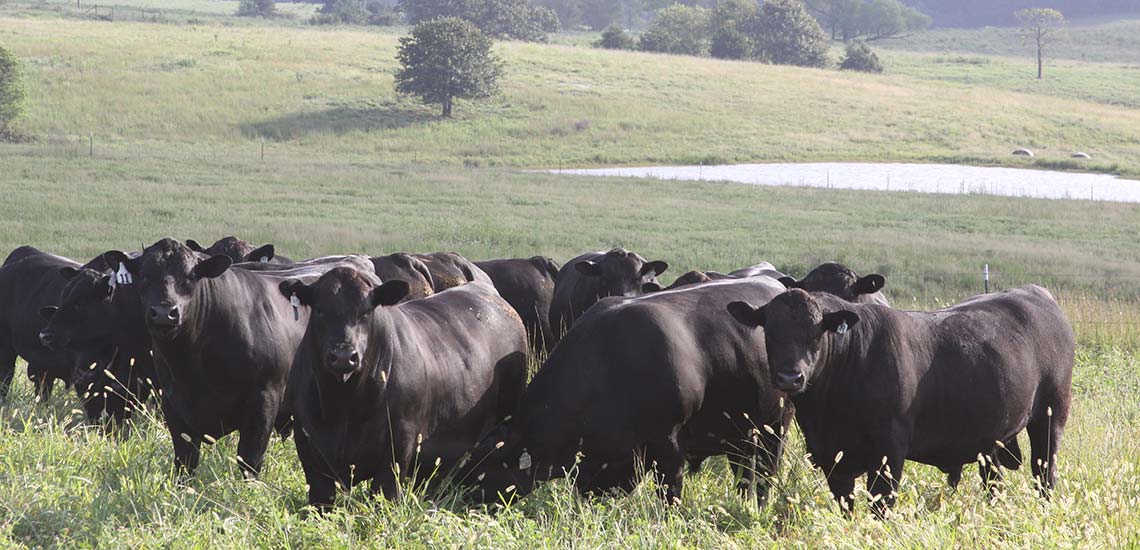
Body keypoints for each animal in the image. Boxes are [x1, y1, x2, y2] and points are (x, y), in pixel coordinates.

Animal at [101, 238, 371, 477]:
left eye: (190, 277)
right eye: (145, 276)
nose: (164, 313)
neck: (193, 364)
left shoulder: (264, 400)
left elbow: (250, 459)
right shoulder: (172, 402)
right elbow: (185, 460)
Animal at [279, 267, 527, 508]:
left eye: (366, 312)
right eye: (320, 310)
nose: (343, 356)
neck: (344, 405)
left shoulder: (397, 449)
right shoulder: (310, 454)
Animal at [466, 277, 792, 506]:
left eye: (483, 464)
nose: (457, 495)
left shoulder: (669, 444)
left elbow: (670, 495)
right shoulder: (599, 465)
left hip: (776, 425)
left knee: (766, 473)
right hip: (741, 434)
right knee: (745, 475)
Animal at [726, 286, 1074, 516]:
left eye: (816, 333)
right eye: (770, 332)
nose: (790, 377)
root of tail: (1036, 293)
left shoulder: (889, 450)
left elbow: (881, 503)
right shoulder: (833, 457)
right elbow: (846, 504)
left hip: (1051, 416)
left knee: (1044, 473)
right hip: (990, 439)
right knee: (993, 479)